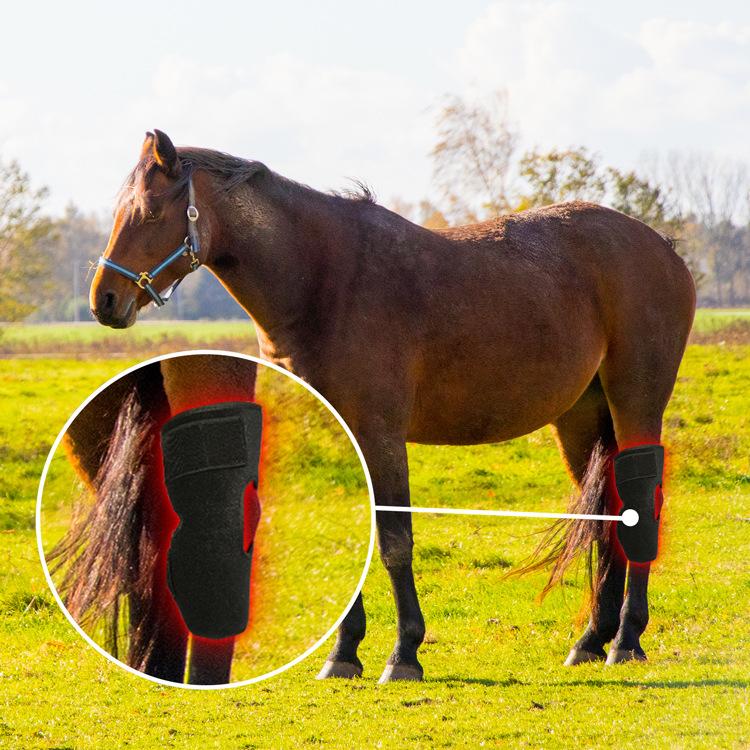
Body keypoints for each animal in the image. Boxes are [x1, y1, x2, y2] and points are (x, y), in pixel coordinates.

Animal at [88, 129, 695, 682]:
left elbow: (396, 541)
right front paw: (342, 655)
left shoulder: (380, 433)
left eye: (148, 212)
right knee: (608, 511)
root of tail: (664, 248)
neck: (325, 280)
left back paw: (626, 640)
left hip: (636, 403)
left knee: (640, 504)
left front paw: (403, 654)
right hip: (580, 418)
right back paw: (592, 639)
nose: (105, 300)